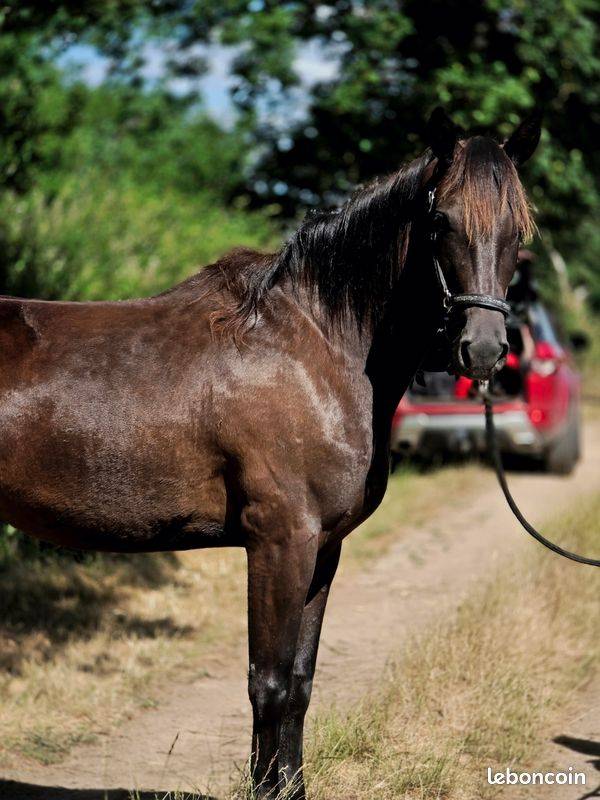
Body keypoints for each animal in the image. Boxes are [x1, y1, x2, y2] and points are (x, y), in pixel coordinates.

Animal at [0, 107, 540, 798]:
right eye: (440, 221)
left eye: (518, 228)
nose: (483, 348)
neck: (315, 346)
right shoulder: (280, 541)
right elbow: (271, 683)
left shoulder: (324, 548)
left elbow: (301, 685)